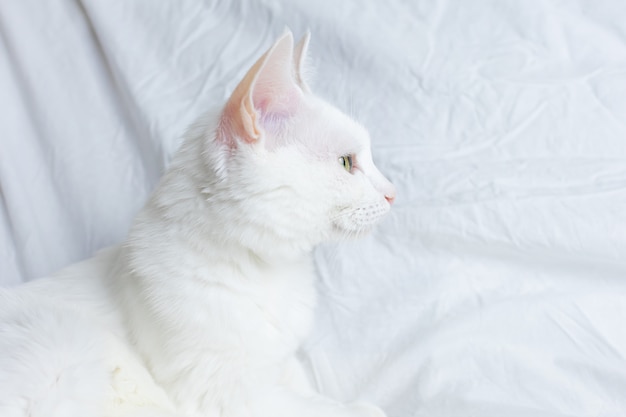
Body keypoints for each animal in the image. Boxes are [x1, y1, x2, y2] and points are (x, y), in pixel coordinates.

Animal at [0, 30, 392, 416]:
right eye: (346, 162)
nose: (393, 193)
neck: (268, 270)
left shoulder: (281, 364)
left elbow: (309, 388)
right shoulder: (230, 396)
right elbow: (341, 409)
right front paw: (362, 407)